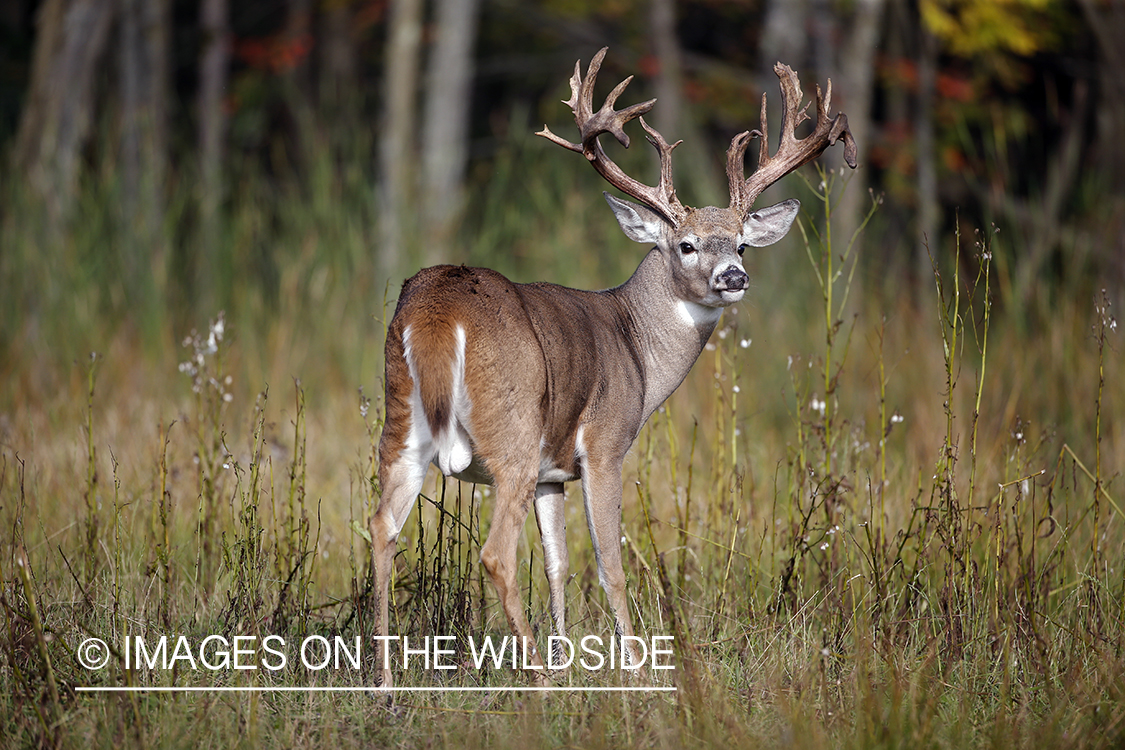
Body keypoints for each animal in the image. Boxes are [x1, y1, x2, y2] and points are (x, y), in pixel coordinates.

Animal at [369, 46, 850, 688]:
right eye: (687, 245)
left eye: (742, 244)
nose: (734, 276)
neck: (636, 348)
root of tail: (438, 311)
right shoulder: (603, 445)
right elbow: (610, 565)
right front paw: (636, 673)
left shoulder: (552, 473)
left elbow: (558, 564)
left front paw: (569, 656)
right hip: (511, 430)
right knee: (495, 554)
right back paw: (538, 680)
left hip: (402, 423)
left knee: (381, 528)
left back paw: (385, 682)